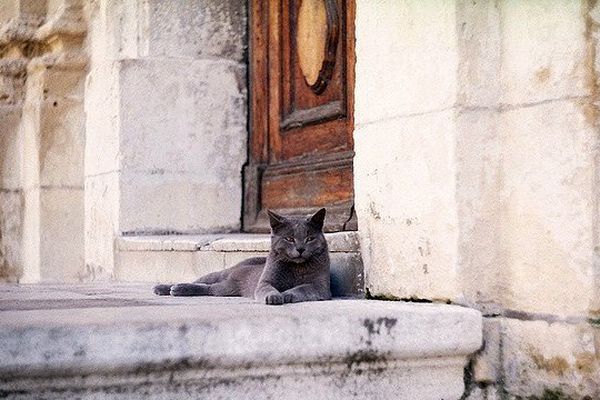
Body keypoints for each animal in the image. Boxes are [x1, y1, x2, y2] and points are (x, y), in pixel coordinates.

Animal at [154, 208, 332, 304]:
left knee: (211, 289)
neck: (296, 267)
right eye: (289, 239)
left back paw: (175, 289)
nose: (300, 248)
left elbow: (301, 288)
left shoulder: (320, 287)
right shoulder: (264, 282)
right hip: (222, 272)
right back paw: (166, 288)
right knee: (203, 281)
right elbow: (267, 288)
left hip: (226, 289)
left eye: (310, 238)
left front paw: (286, 294)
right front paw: (274, 296)